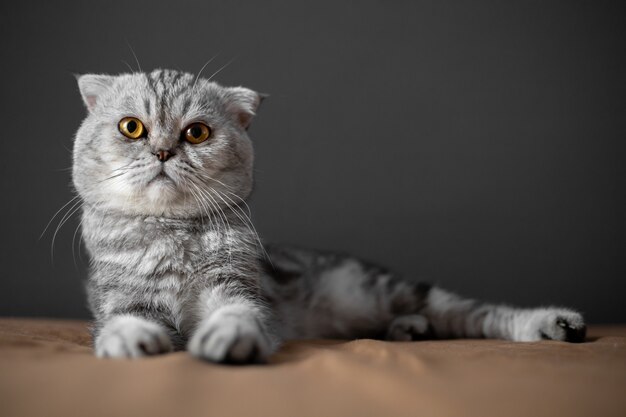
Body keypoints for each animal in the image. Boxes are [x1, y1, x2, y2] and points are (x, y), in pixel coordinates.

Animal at [73, 68, 584, 360]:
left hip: (376, 288)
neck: (173, 230)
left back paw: (550, 324)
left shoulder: (236, 286)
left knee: (467, 312)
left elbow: (237, 314)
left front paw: (228, 339)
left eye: (197, 132)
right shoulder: (119, 294)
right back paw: (410, 331)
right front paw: (130, 340)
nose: (161, 151)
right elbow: (123, 319)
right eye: (131, 128)